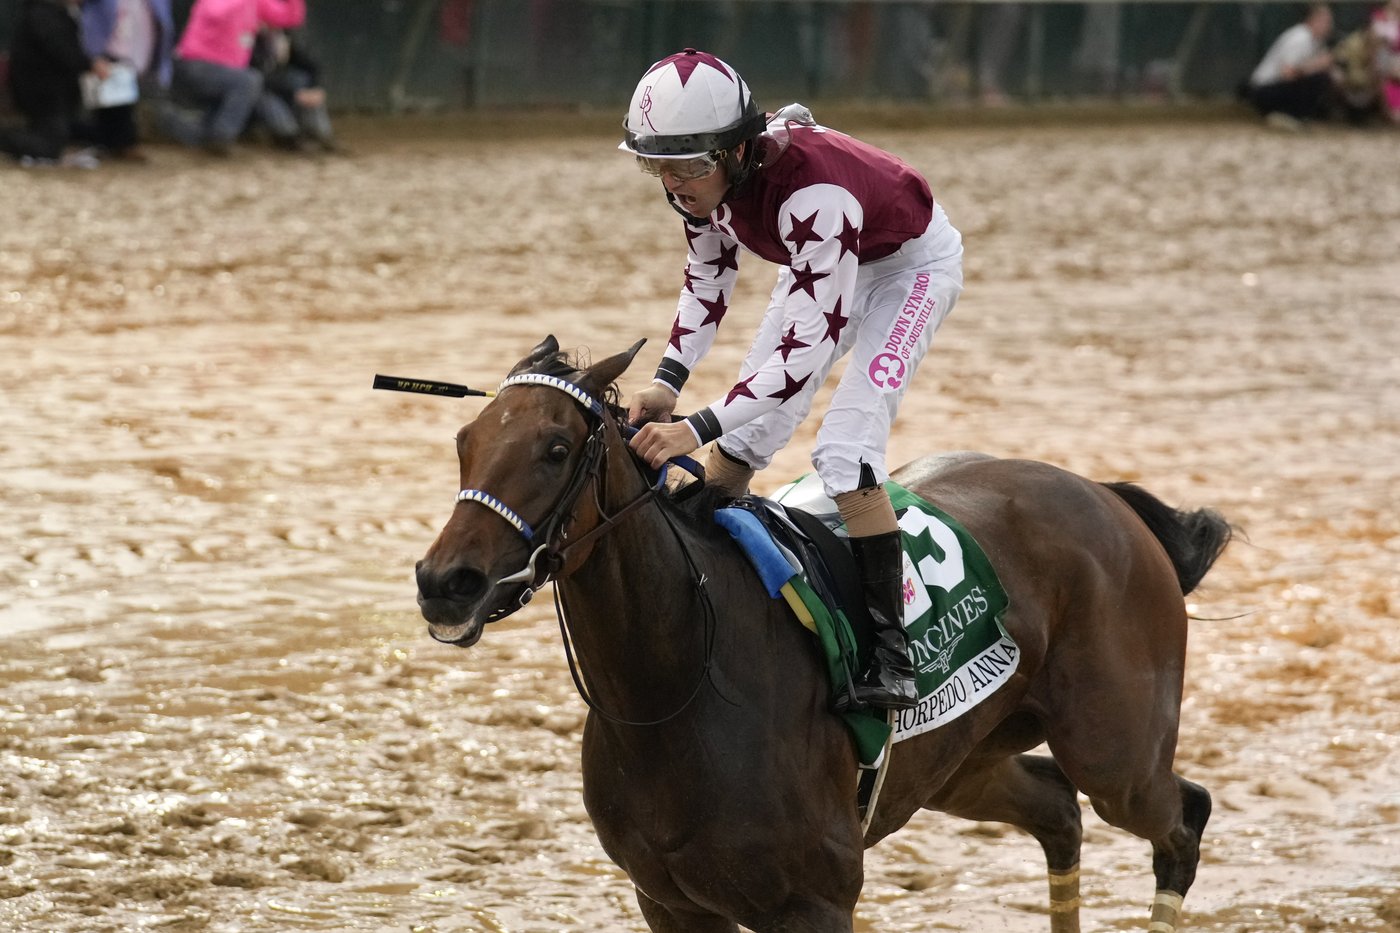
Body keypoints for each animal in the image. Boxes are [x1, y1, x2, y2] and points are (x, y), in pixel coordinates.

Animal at [413, 335, 1233, 933]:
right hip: (960, 762)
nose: (444, 580)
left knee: (1180, 817)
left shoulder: (815, 902)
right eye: (463, 439)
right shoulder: (669, 900)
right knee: (1058, 809)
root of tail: (1103, 494)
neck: (679, 688)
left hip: (1117, 756)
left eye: (555, 449)